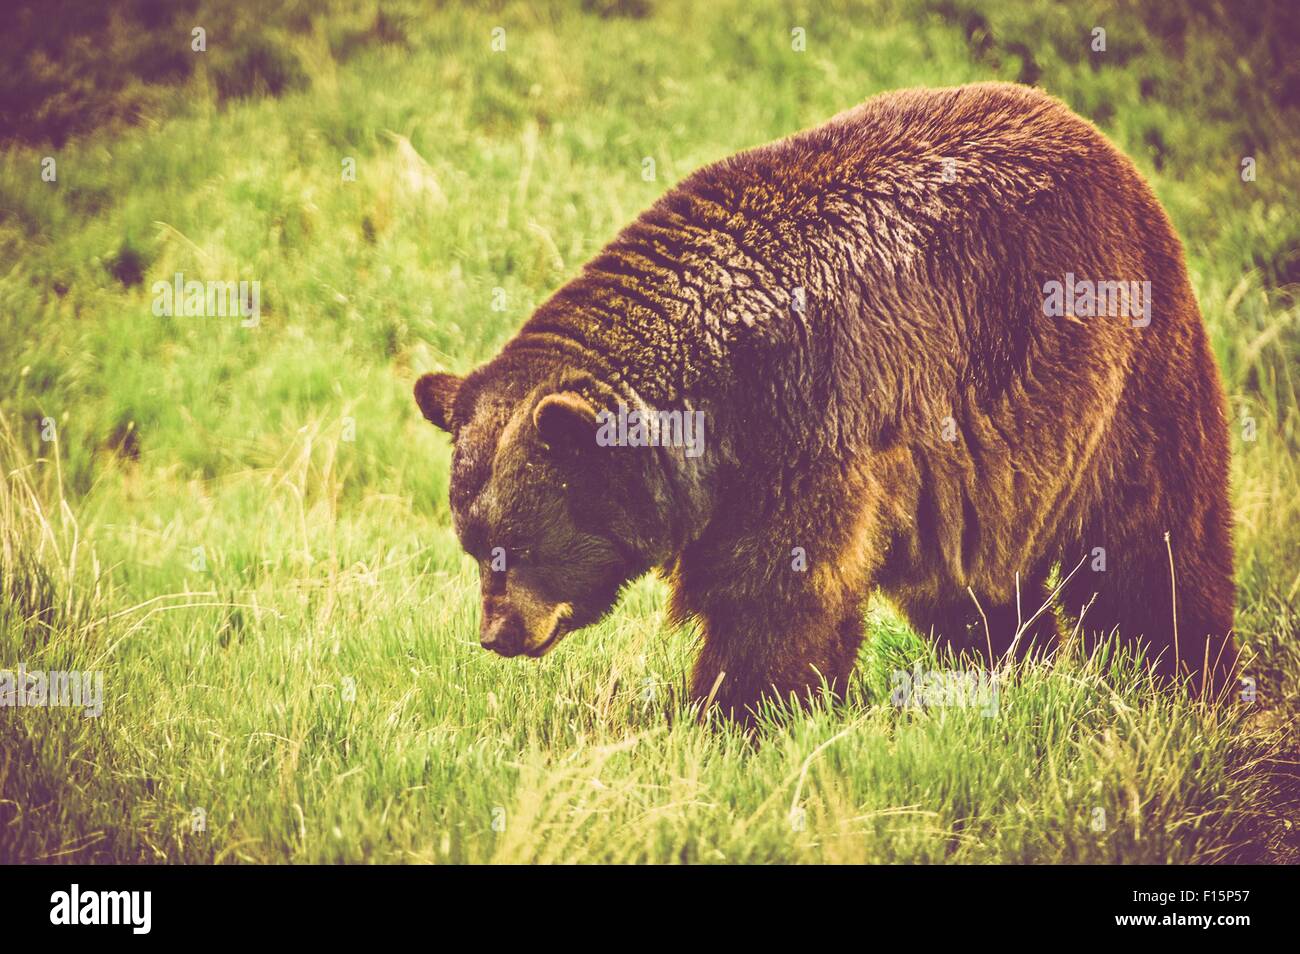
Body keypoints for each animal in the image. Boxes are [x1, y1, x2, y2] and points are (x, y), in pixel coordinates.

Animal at [418, 82, 1237, 722]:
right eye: (473, 545)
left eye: (522, 544)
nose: (498, 635)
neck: (716, 404)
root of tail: (1102, 141)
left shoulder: (816, 416)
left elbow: (784, 588)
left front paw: (736, 714)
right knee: (974, 586)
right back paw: (1014, 664)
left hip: (1119, 378)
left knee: (1153, 543)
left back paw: (1180, 677)